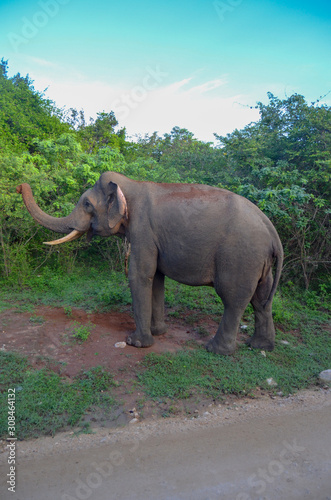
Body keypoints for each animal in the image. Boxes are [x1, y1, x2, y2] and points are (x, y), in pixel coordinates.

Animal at [16, 172, 284, 356]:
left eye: (87, 204)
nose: (19, 186)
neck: (130, 185)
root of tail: (272, 231)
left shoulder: (143, 230)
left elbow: (139, 275)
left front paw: (136, 343)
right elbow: (156, 278)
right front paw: (158, 333)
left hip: (240, 258)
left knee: (233, 300)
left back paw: (216, 350)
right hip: (260, 262)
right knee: (261, 301)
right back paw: (259, 346)